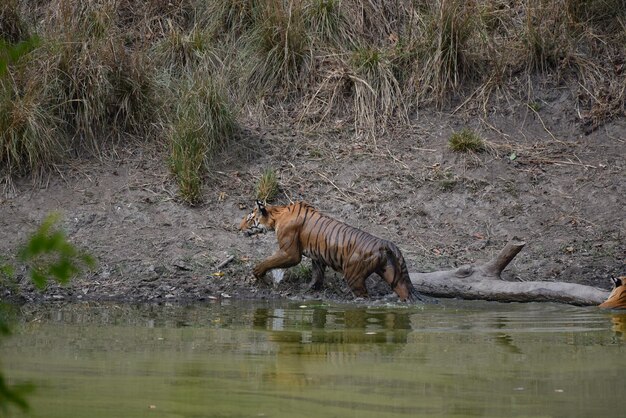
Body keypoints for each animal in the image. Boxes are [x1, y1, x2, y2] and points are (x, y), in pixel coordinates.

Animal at [239, 201, 424, 302]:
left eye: (249, 219)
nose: (238, 228)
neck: (278, 214)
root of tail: (385, 242)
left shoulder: (290, 253)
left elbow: (269, 261)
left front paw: (257, 273)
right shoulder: (317, 256)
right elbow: (317, 274)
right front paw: (311, 288)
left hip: (354, 275)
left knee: (363, 295)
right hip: (391, 274)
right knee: (403, 290)